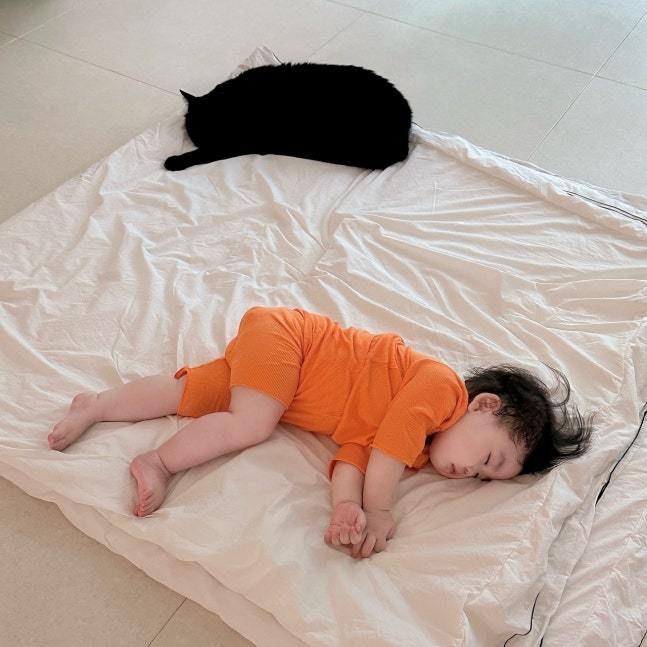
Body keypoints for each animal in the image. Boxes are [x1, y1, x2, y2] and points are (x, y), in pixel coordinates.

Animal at [164, 63, 412, 172]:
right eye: (193, 131)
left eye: (211, 129)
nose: (199, 141)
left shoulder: (240, 141)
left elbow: (206, 154)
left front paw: (175, 161)